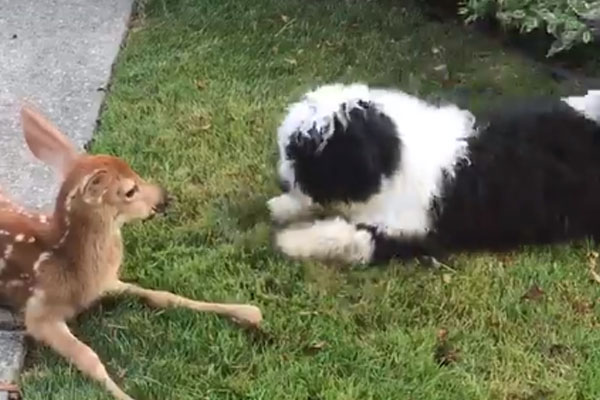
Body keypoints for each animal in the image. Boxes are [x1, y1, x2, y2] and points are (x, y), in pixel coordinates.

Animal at [0, 104, 262, 398]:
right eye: (129, 191)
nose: (164, 196)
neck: (72, 265)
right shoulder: (39, 311)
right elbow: (88, 356)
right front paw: (125, 394)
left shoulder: (107, 281)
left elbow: (164, 295)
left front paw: (249, 312)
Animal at [268, 84, 600, 264]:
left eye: (303, 154)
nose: (282, 179)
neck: (395, 156)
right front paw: (283, 207)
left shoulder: (411, 231)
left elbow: (346, 234)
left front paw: (293, 240)